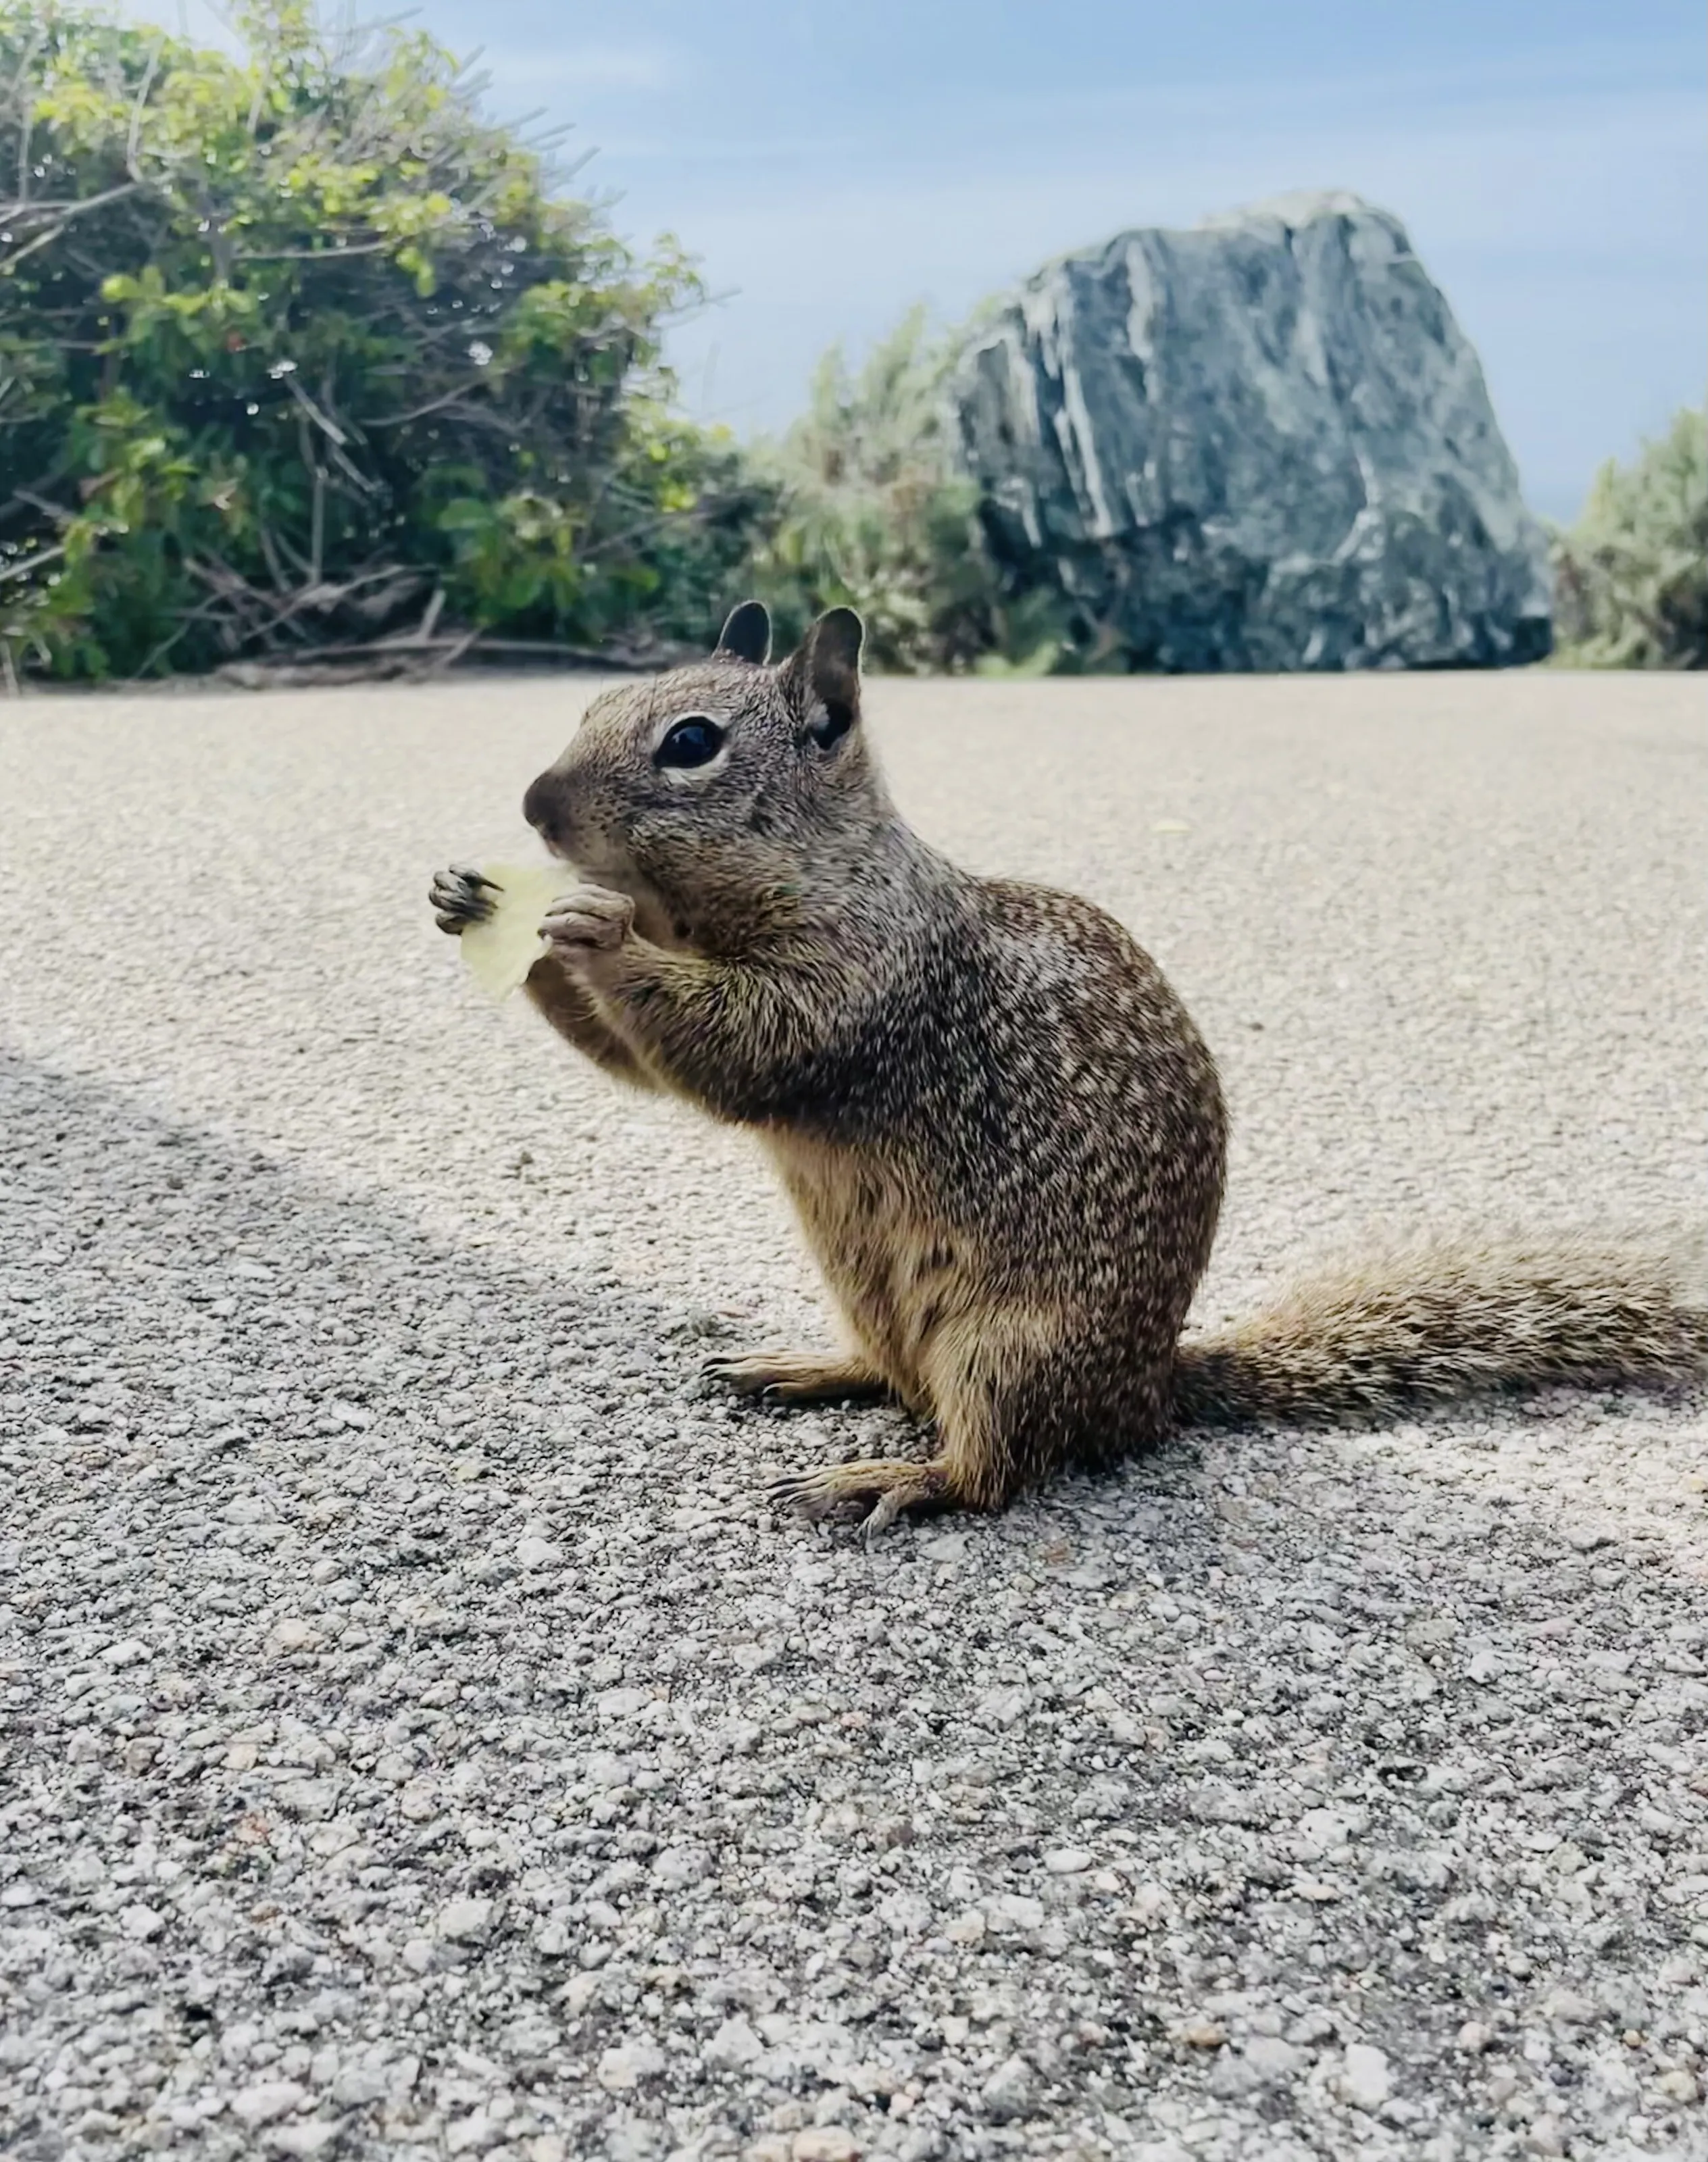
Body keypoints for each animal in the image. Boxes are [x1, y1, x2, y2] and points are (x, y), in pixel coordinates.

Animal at [430, 601, 1708, 1529]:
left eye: (690, 744)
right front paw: (469, 901)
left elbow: (743, 1048)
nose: (533, 804)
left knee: (995, 1466)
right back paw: (808, 1371)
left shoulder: (869, 983)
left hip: (1008, 1351)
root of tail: (1151, 1390)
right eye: (595, 700)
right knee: (892, 1378)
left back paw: (895, 1479)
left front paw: (592, 932)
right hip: (879, 1299)